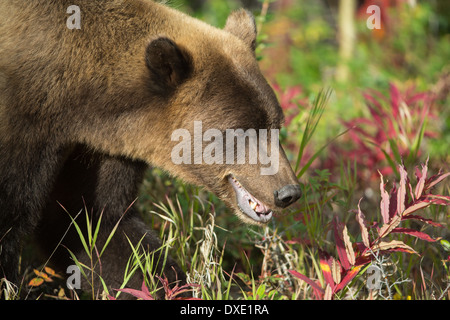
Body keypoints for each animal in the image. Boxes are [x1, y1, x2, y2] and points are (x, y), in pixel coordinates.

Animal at [0, 0, 302, 296]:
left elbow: (93, 222)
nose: (288, 192)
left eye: (276, 125)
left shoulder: (102, 146)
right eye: (240, 131)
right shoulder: (24, 121)